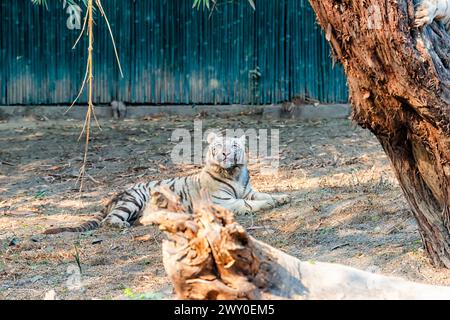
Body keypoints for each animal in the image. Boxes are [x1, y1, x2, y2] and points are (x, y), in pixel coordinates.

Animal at [44, 133, 292, 235]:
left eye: (233, 146)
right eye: (219, 146)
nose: (224, 154)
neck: (234, 172)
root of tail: (120, 192)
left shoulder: (248, 191)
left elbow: (264, 195)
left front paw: (282, 198)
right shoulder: (225, 202)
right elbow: (248, 205)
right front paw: (268, 205)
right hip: (134, 200)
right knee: (108, 220)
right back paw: (121, 226)